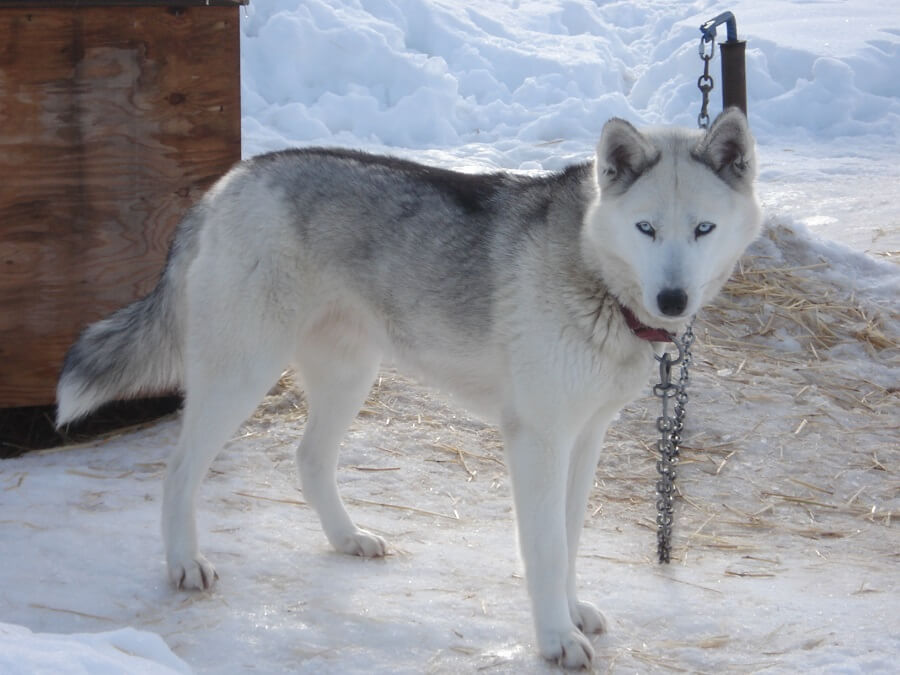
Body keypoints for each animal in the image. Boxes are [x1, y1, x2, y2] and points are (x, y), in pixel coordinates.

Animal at [58, 111, 760, 672]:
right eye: (645, 228)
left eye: (702, 229)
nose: (674, 298)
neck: (594, 275)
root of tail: (228, 182)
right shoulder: (538, 441)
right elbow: (546, 548)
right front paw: (554, 639)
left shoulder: (584, 438)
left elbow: (569, 541)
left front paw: (571, 611)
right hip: (242, 374)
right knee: (179, 471)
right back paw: (184, 563)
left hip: (349, 376)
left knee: (308, 460)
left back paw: (347, 539)